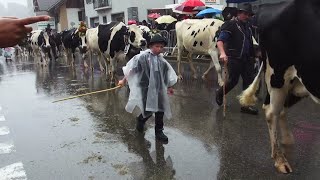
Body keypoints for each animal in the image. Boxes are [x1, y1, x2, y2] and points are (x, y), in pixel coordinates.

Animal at [238, 0, 320, 174]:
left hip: (300, 83)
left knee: (281, 109)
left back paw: (287, 141)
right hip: (278, 76)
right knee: (271, 111)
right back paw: (280, 159)